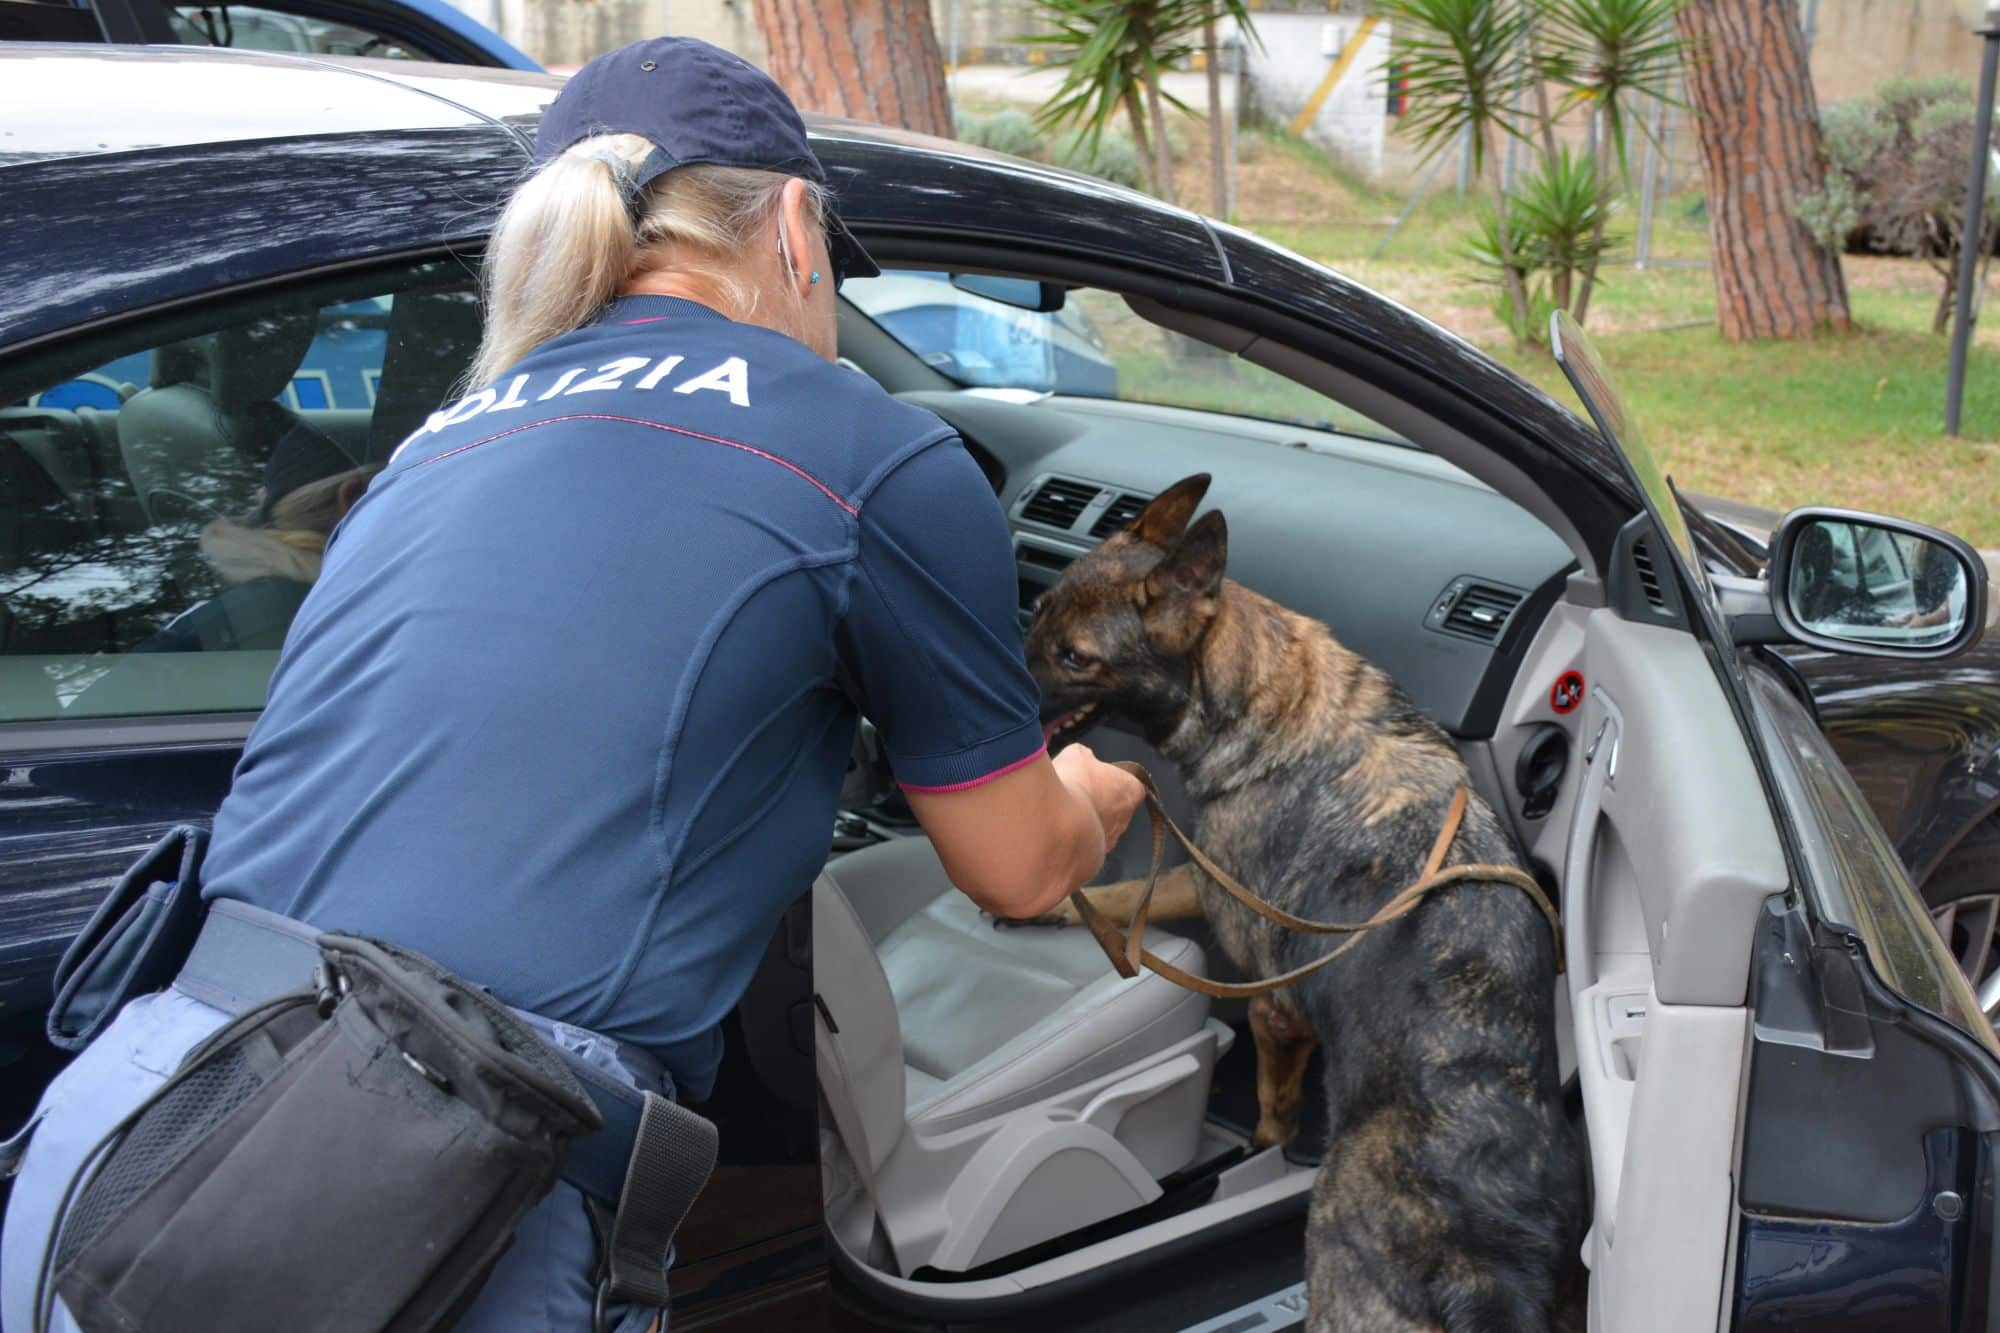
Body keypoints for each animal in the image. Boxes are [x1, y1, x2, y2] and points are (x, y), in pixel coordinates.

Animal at [1024, 478, 1584, 1328]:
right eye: (1038, 609)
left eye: (1076, 657)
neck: (1262, 692)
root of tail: (1479, 1268)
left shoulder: (1267, 995)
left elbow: (1268, 1103)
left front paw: (1264, 1145)